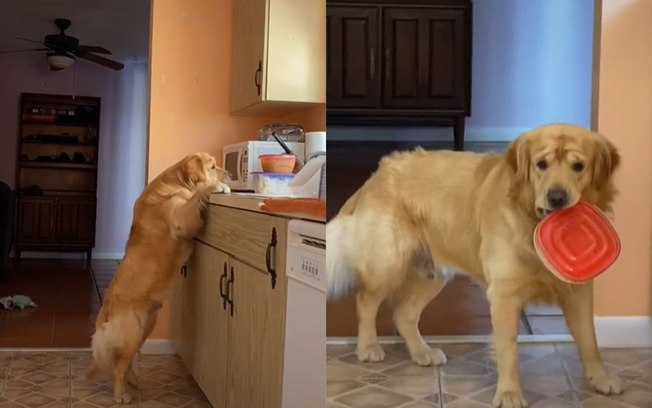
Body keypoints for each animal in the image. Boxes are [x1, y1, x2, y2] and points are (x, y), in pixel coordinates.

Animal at [86, 152, 229, 402]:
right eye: (212, 167)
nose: (229, 173)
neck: (176, 183)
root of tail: (106, 307)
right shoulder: (180, 217)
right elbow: (196, 197)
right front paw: (215, 186)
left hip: (145, 329)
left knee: (126, 362)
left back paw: (132, 380)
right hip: (133, 333)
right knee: (118, 366)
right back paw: (121, 394)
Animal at [328, 124, 624, 408]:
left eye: (578, 166)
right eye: (542, 164)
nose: (557, 197)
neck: (530, 219)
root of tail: (377, 173)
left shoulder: (578, 293)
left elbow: (590, 341)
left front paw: (602, 378)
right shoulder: (504, 296)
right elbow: (509, 350)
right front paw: (509, 394)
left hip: (434, 274)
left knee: (403, 314)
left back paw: (422, 352)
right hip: (389, 262)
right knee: (365, 301)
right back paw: (368, 347)